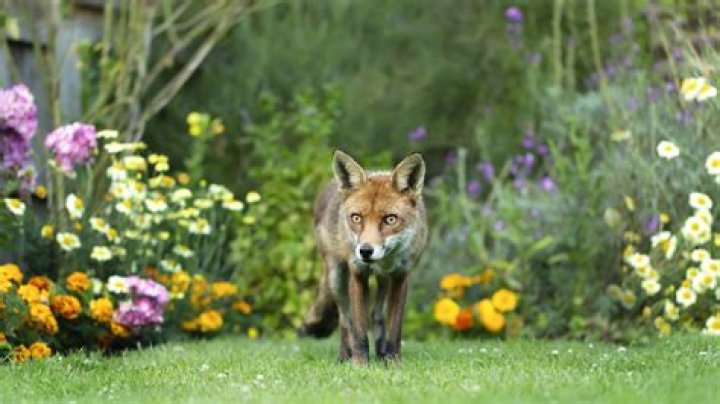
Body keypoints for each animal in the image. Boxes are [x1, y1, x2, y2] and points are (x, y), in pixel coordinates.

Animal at [298, 150, 427, 364]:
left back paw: (381, 352)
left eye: (390, 219)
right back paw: (344, 356)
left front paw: (393, 361)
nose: (365, 251)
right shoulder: (357, 273)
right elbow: (358, 329)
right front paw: (359, 363)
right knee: (345, 319)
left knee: (377, 315)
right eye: (356, 218)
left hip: (383, 280)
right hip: (335, 277)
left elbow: (395, 328)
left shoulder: (401, 276)